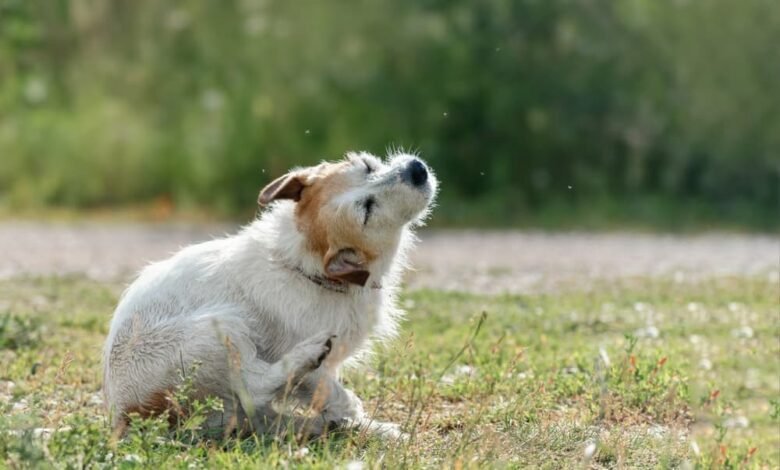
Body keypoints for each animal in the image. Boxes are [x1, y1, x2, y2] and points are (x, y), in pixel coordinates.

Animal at [100, 152, 436, 438]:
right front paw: (352, 409)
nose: (418, 170)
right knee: (255, 386)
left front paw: (363, 424)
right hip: (223, 324)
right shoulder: (314, 373)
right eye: (367, 209)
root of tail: (125, 415)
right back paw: (309, 358)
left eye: (367, 165)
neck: (304, 265)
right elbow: (329, 390)